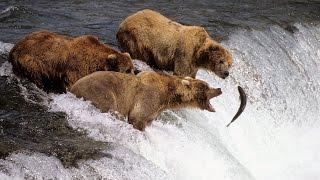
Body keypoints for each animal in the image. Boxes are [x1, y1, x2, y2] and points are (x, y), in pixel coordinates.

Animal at [70, 70, 221, 131]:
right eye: (206, 86)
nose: (219, 89)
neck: (167, 96)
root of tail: (72, 87)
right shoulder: (147, 97)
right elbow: (137, 117)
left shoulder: (155, 110)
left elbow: (148, 120)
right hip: (100, 92)